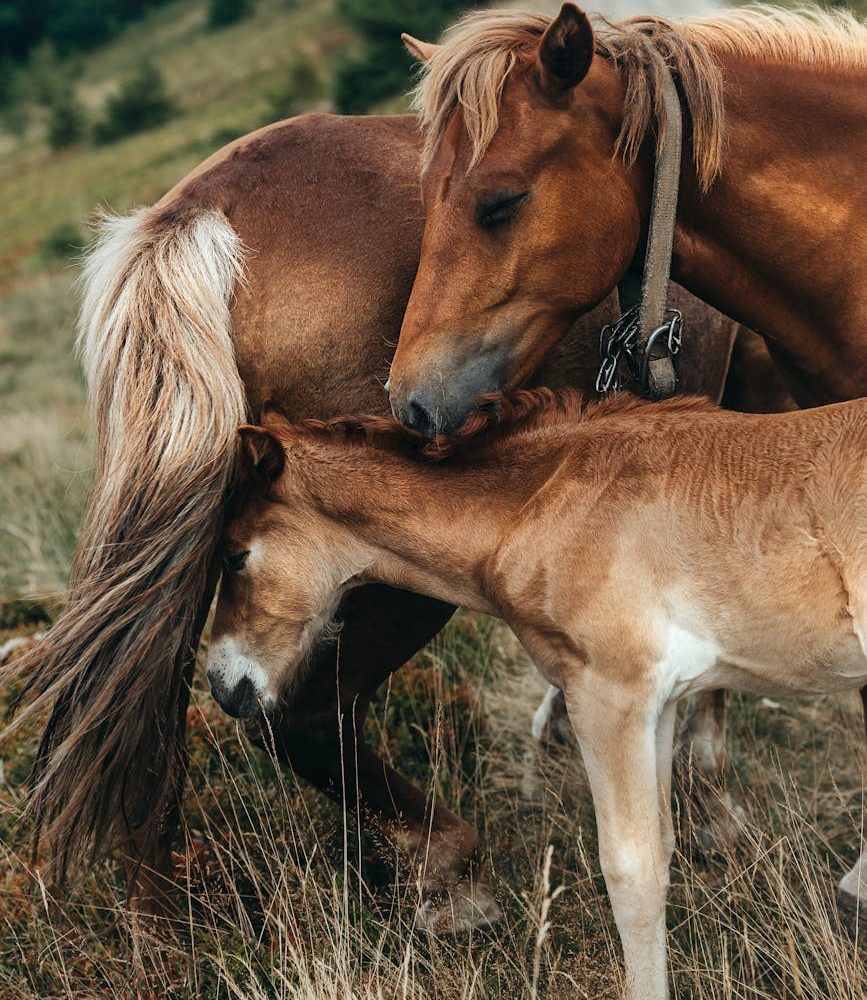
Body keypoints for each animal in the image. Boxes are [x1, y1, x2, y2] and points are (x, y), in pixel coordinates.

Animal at [2, 107, 790, 929]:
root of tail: (199, 216)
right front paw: (708, 813)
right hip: (384, 558)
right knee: (301, 716)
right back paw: (452, 874)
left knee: (141, 740)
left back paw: (164, 927)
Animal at [208, 387, 867, 1000]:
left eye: (236, 556)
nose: (221, 684)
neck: (542, 502)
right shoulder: (658, 704)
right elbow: (662, 847)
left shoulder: (608, 694)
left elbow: (632, 874)